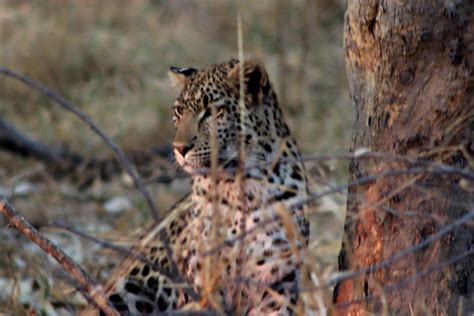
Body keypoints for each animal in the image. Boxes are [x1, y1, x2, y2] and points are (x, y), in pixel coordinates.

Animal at [86, 59, 310, 316]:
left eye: (212, 112)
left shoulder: (279, 284)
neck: (243, 183)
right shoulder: (208, 283)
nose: (179, 148)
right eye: (179, 112)